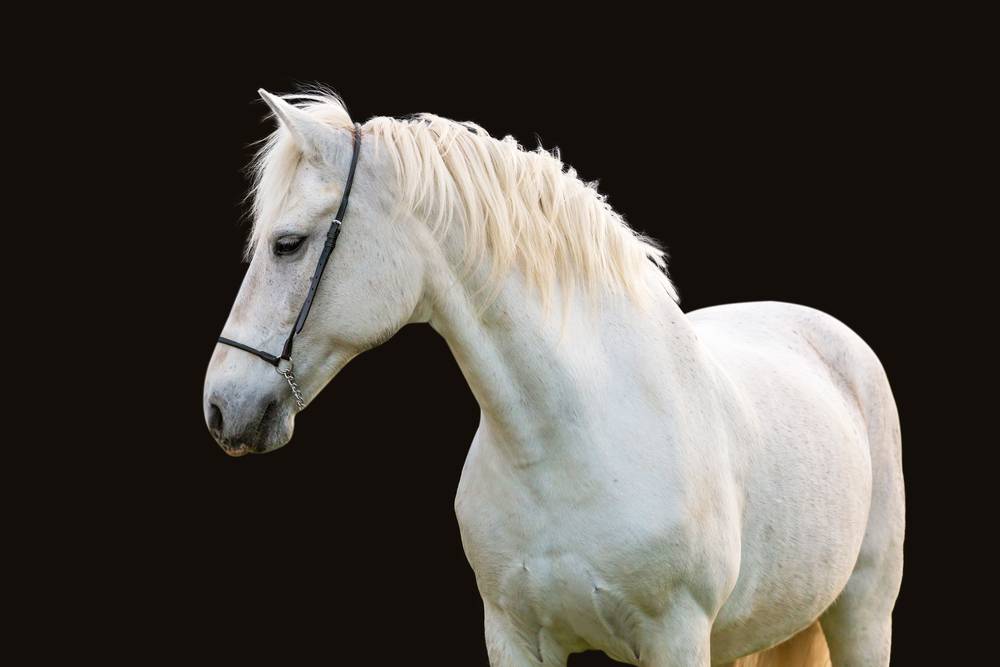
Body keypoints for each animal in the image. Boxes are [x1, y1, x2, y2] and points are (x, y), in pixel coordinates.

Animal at [205, 90, 908, 667]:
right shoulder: (513, 636)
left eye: (288, 244)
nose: (220, 407)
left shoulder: (677, 638)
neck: (568, 441)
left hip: (864, 615)